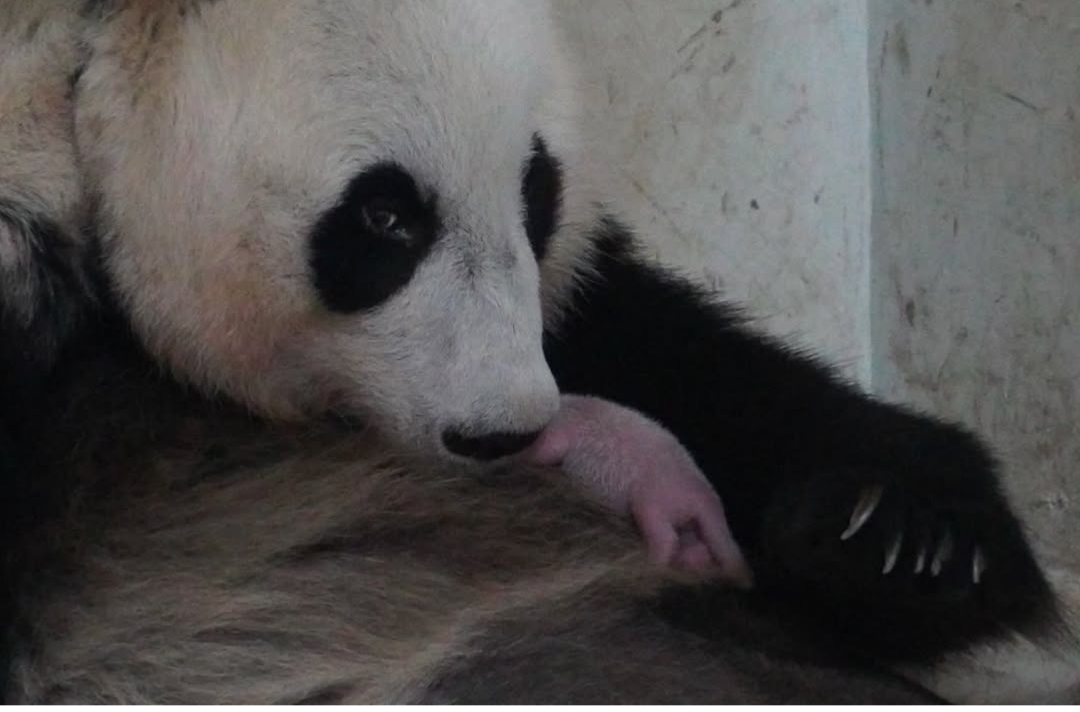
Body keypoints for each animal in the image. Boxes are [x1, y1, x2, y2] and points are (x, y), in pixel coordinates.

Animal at [0, 0, 1064, 704]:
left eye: (536, 189)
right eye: (386, 217)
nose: (505, 434)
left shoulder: (582, 318)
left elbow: (684, 359)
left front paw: (905, 534)